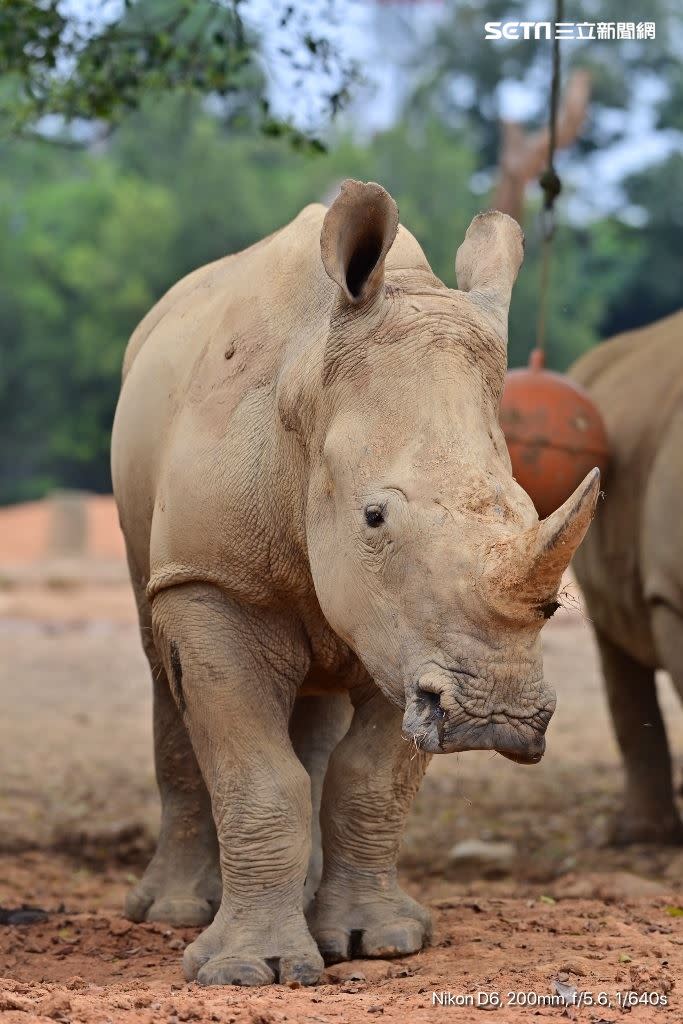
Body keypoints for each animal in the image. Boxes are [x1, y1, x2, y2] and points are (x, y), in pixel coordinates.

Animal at [112, 180, 598, 987]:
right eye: (374, 518)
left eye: (531, 512)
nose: (495, 718)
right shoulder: (213, 581)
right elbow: (256, 776)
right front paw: (250, 970)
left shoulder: (406, 633)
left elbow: (370, 780)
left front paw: (381, 940)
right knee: (161, 666)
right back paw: (173, 913)